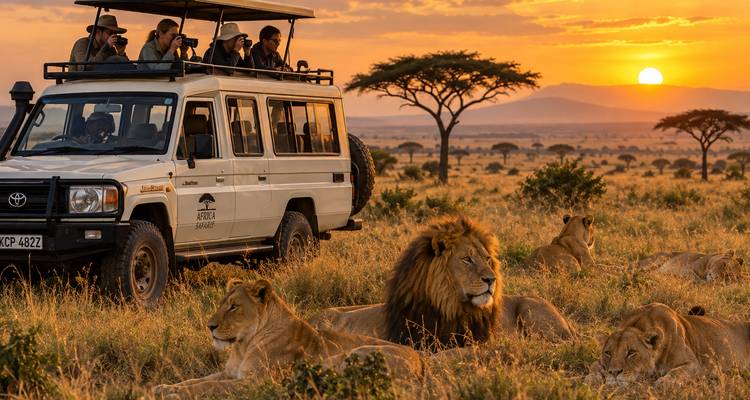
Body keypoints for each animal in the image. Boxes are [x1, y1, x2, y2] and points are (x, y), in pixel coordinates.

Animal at [153, 279, 424, 399]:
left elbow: (208, 386)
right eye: (221, 304)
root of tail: (421, 364)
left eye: (233, 306)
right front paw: (164, 387)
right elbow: (197, 379)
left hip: (352, 357)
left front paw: (173, 394)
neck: (243, 345)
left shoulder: (254, 382)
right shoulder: (230, 373)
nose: (210, 327)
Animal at [586, 303, 750, 386]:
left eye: (631, 352)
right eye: (608, 353)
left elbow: (676, 373)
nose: (614, 373)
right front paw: (592, 378)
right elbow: (593, 365)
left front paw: (662, 382)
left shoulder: (694, 363)